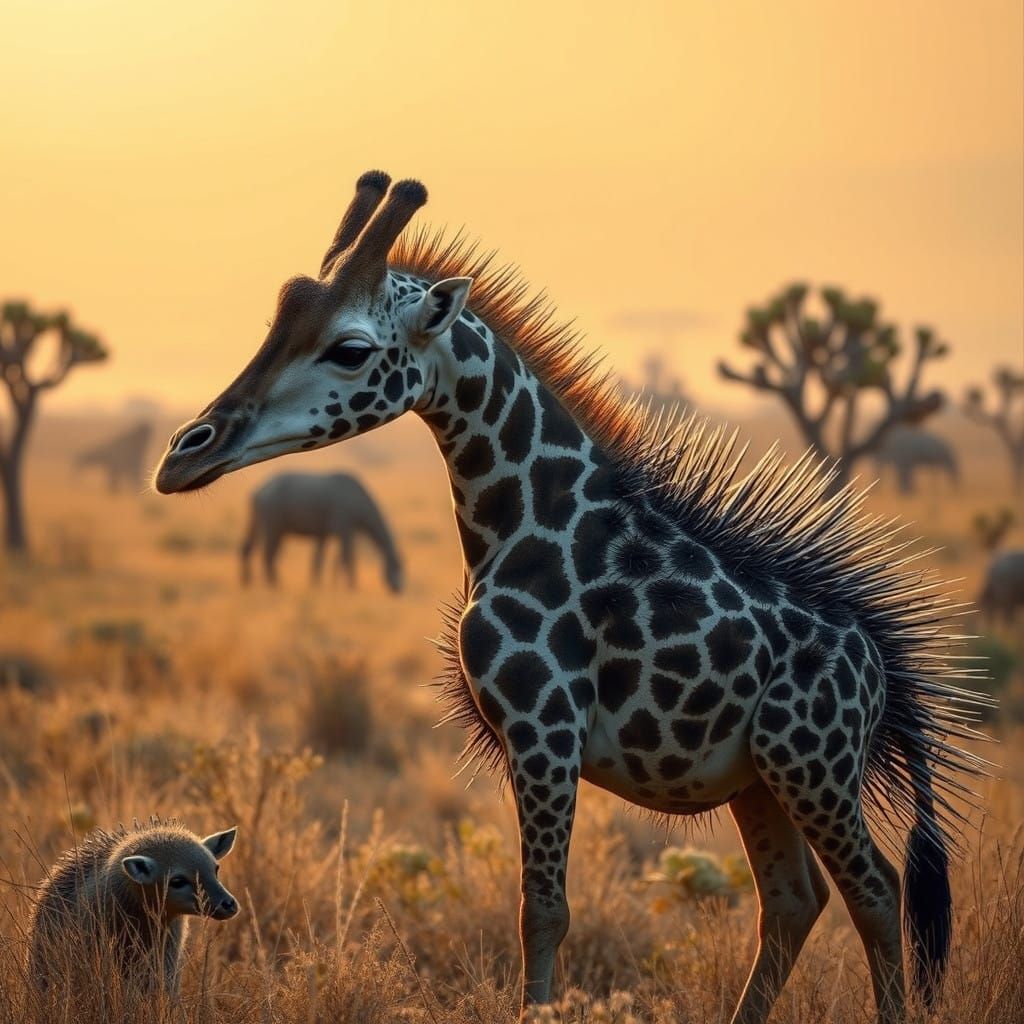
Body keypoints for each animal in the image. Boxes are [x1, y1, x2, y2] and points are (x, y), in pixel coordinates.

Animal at [154, 171, 989, 1023]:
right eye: (275, 323)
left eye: (350, 349)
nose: (183, 455)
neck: (522, 519)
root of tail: (883, 671)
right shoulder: (532, 740)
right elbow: (540, 907)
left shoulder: (544, 728)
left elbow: (543, 910)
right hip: (761, 778)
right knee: (793, 898)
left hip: (812, 764)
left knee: (876, 890)